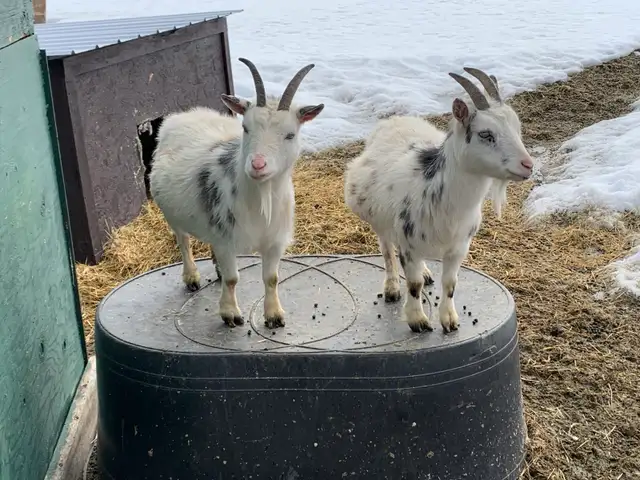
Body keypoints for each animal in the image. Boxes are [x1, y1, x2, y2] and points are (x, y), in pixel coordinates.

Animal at [149, 58, 324, 329]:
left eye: (290, 134)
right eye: (245, 127)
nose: (258, 164)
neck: (260, 199)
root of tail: (183, 115)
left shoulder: (274, 241)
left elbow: (271, 278)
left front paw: (274, 315)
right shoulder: (226, 240)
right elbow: (233, 279)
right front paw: (230, 314)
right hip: (172, 213)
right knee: (183, 241)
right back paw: (191, 277)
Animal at [344, 67, 534, 333]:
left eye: (517, 128)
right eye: (486, 134)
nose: (528, 165)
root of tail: (394, 120)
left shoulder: (459, 247)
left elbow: (450, 283)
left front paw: (450, 320)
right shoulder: (409, 243)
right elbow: (413, 284)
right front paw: (418, 321)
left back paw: (425, 273)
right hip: (379, 220)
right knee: (387, 249)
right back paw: (392, 288)